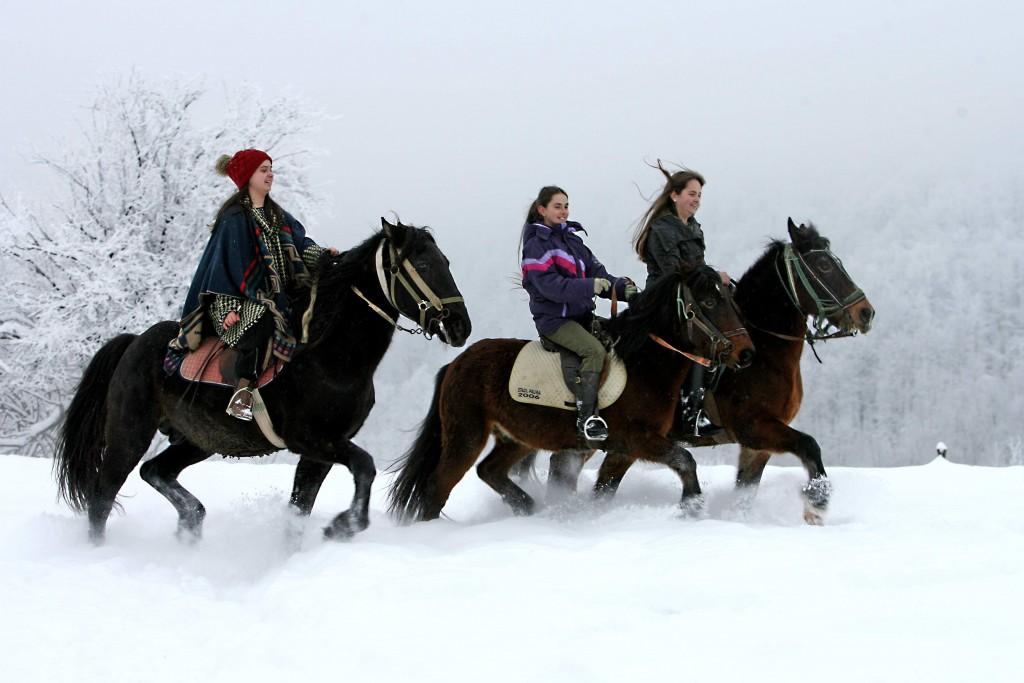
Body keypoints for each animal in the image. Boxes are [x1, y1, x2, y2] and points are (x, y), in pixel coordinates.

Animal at [54, 219, 468, 544]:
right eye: (424, 263)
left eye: (447, 262)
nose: (460, 326)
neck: (328, 353)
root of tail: (133, 343)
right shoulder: (311, 439)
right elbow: (365, 466)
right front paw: (343, 526)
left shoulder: (319, 452)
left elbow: (299, 511)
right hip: (129, 434)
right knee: (103, 497)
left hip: (196, 440)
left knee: (155, 471)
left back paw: (191, 519)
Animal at [387, 264, 757, 520]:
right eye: (708, 301)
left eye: (730, 300)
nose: (746, 354)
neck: (644, 363)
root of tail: (455, 365)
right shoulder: (636, 438)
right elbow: (685, 460)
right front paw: (691, 507)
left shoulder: (622, 449)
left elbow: (605, 489)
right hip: (466, 436)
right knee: (438, 487)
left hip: (518, 438)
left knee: (488, 470)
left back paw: (528, 508)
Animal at [540, 219, 876, 524]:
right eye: (823, 265)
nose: (865, 313)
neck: (764, 349)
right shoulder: (755, 426)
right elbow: (809, 444)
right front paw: (816, 504)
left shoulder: (756, 444)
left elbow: (746, 490)